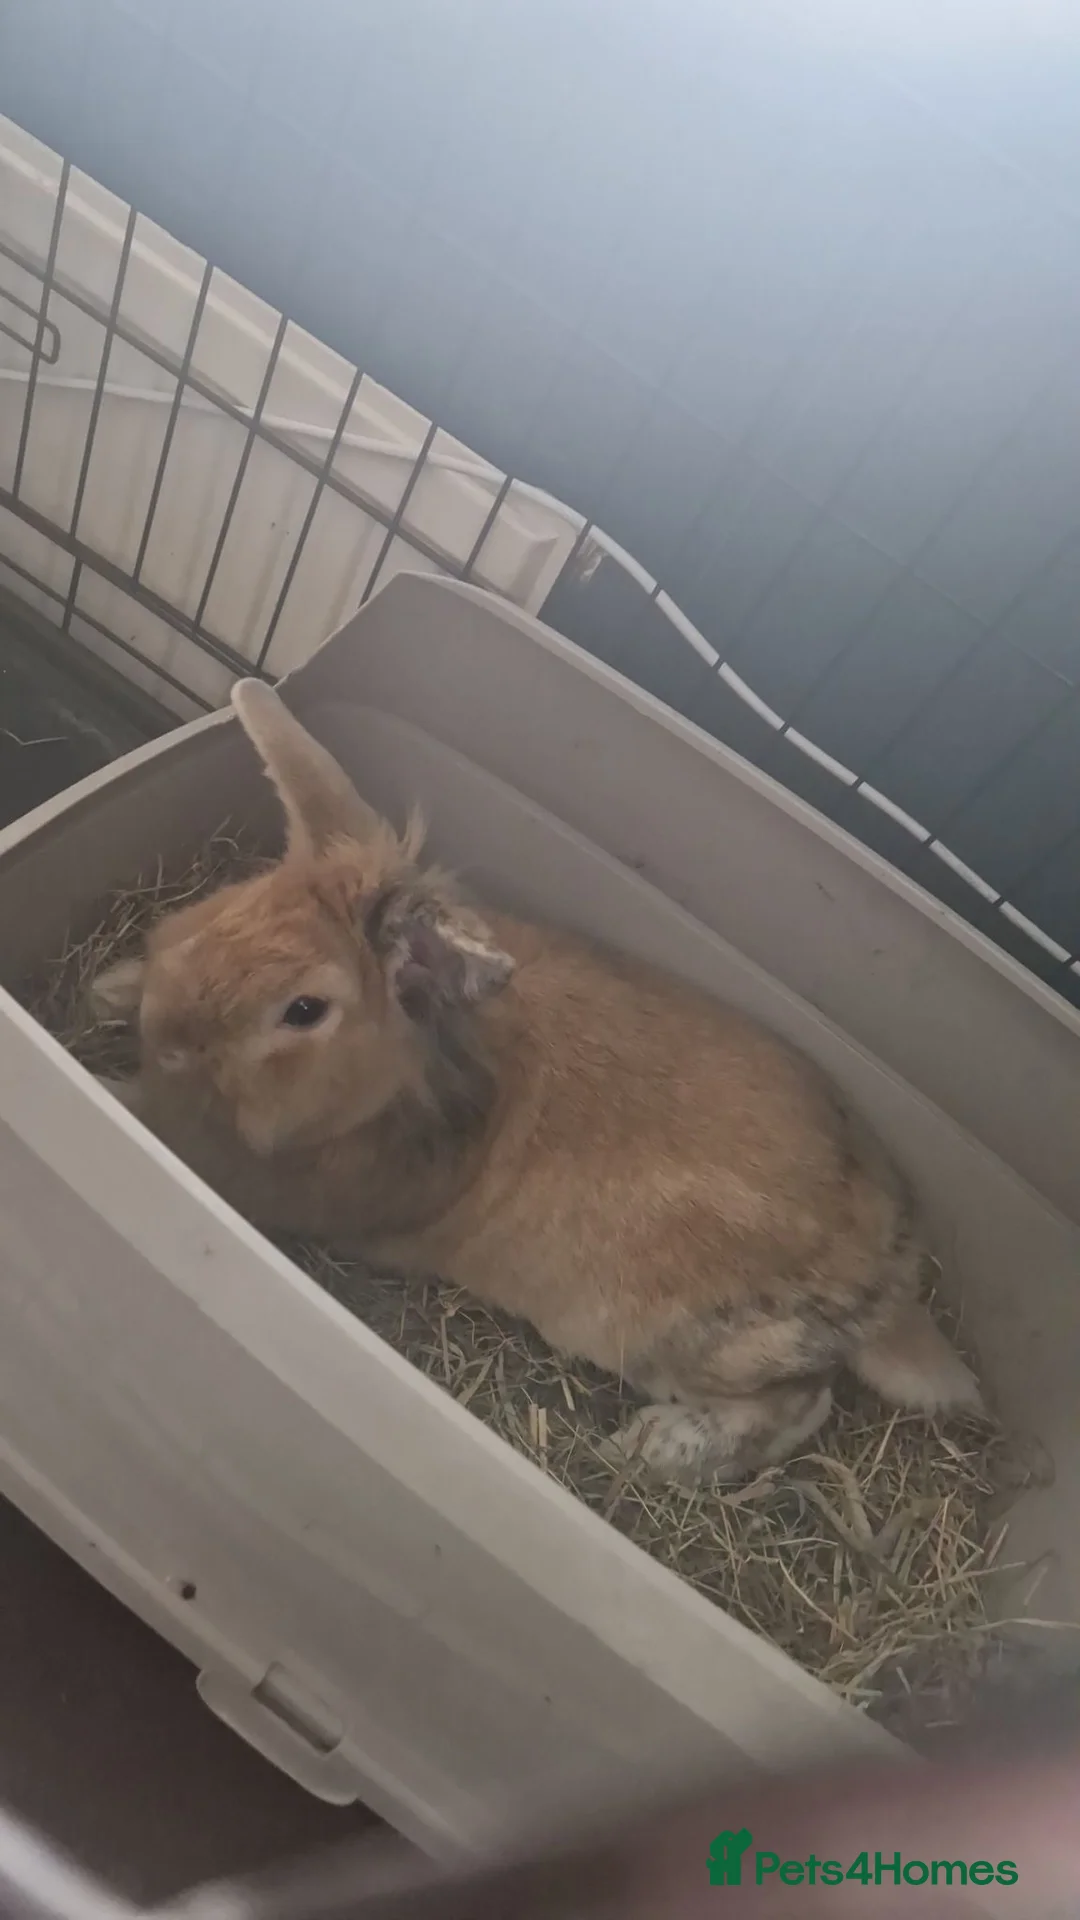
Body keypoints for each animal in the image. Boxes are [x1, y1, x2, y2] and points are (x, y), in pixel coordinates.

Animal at [92, 680, 982, 1485]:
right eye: (234, 902)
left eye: (304, 1009)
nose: (169, 1028)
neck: (427, 1066)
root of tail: (892, 1278)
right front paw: (111, 988)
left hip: (675, 1340)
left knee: (802, 1403)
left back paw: (653, 1450)